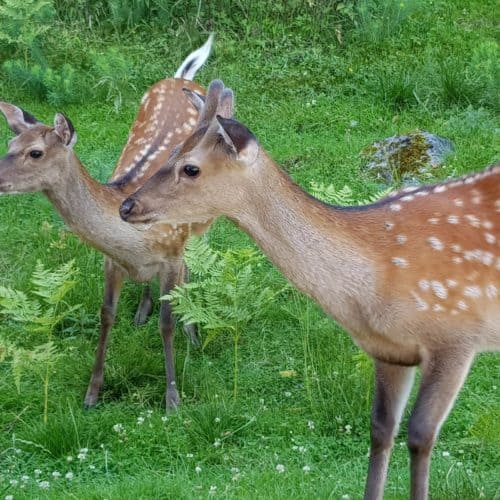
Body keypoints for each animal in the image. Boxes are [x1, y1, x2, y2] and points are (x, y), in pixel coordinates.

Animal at [0, 34, 214, 410]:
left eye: (35, 152)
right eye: (10, 143)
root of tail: (182, 77)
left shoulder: (172, 252)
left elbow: (166, 322)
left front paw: (172, 396)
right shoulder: (111, 261)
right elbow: (106, 315)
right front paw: (92, 393)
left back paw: (192, 331)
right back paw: (143, 310)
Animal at [120, 80, 500, 498]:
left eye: (190, 168)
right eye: (170, 151)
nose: (127, 206)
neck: (372, 282)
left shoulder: (455, 335)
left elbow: (419, 437)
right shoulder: (390, 350)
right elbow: (381, 431)